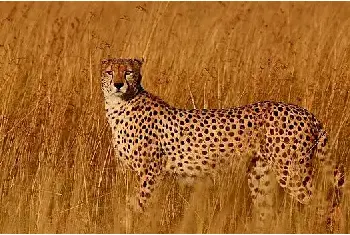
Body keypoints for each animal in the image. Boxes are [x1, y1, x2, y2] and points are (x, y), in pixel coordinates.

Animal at [100, 57, 344, 230]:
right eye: (110, 72)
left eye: (128, 72)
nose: (118, 84)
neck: (119, 106)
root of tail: (306, 113)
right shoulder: (129, 172)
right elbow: (130, 203)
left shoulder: (151, 173)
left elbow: (138, 206)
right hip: (259, 176)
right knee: (267, 213)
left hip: (292, 172)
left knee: (326, 204)